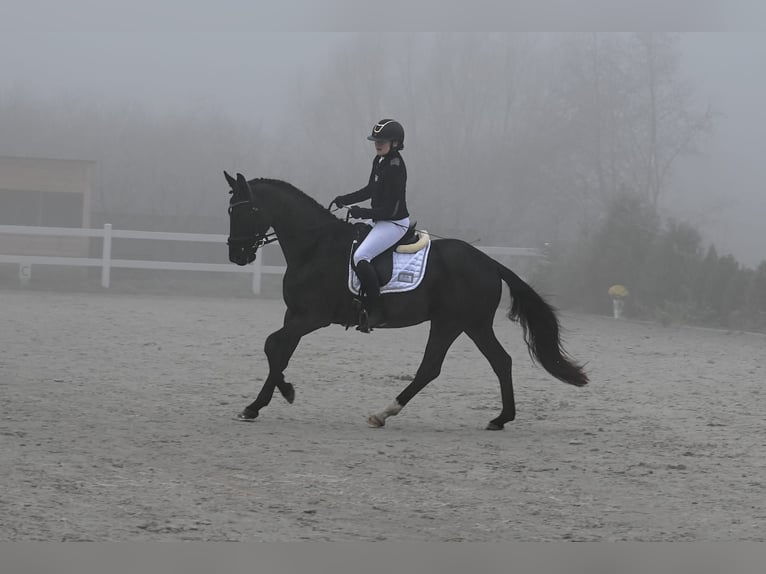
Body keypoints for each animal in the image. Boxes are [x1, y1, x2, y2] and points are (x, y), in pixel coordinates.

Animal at [225, 171, 588, 430]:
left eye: (247, 210)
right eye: (230, 211)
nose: (237, 256)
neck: (315, 246)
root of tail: (489, 262)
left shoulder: (311, 317)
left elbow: (272, 346)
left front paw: (273, 397)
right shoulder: (295, 316)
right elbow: (278, 350)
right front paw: (264, 401)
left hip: (451, 322)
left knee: (431, 367)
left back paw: (383, 413)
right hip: (472, 324)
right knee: (500, 361)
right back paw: (500, 418)